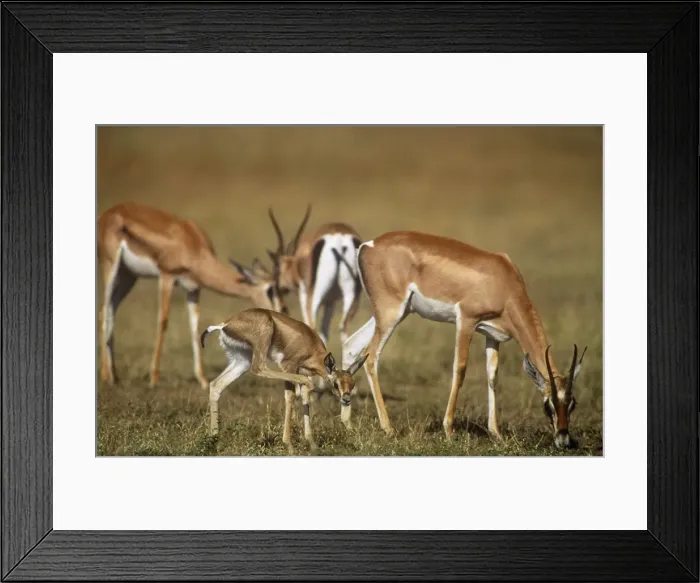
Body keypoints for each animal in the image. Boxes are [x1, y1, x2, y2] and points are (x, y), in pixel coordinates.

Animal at [97, 203, 286, 390]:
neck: (192, 245)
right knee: (103, 312)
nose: (282, 311)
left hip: (128, 276)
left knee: (111, 310)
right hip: (111, 266)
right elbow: (163, 322)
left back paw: (115, 376)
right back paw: (106, 377)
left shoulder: (194, 289)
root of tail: (109, 212)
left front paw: (202, 380)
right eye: (270, 290)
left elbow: (195, 327)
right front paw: (154, 378)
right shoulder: (167, 277)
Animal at [200, 308, 368, 449]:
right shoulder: (289, 367)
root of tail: (226, 324)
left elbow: (305, 398)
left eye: (352, 384)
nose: (346, 399)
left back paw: (214, 438)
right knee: (259, 368)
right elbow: (291, 396)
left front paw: (312, 444)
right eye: (335, 384)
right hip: (258, 355)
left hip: (242, 361)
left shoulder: (303, 372)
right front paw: (289, 445)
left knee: (216, 385)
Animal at [264, 205, 363, 363]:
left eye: (276, 269)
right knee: (345, 329)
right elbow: (324, 332)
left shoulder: (304, 294)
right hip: (352, 295)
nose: (280, 305)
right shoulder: (331, 302)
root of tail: (339, 239)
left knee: (312, 326)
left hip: (315, 296)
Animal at [342, 231, 587, 449]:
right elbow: (459, 370)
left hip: (396, 313)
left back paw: (347, 422)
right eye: (549, 404)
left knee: (352, 345)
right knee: (371, 356)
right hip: (391, 313)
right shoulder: (466, 321)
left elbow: (492, 376)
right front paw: (449, 431)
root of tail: (368, 245)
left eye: (572, 404)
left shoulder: (492, 335)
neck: (504, 282)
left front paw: (496, 434)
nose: (563, 440)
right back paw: (388, 428)